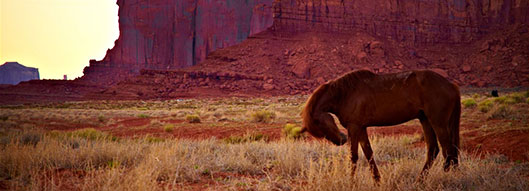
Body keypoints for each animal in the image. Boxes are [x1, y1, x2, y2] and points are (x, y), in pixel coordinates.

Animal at [302, 69, 458, 181]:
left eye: (320, 123)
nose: (341, 140)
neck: (345, 94)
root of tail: (451, 85)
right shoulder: (361, 128)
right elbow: (368, 154)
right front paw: (377, 180)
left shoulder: (354, 127)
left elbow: (353, 157)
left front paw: (351, 182)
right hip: (425, 120)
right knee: (434, 150)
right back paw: (420, 181)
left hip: (438, 123)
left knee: (448, 152)